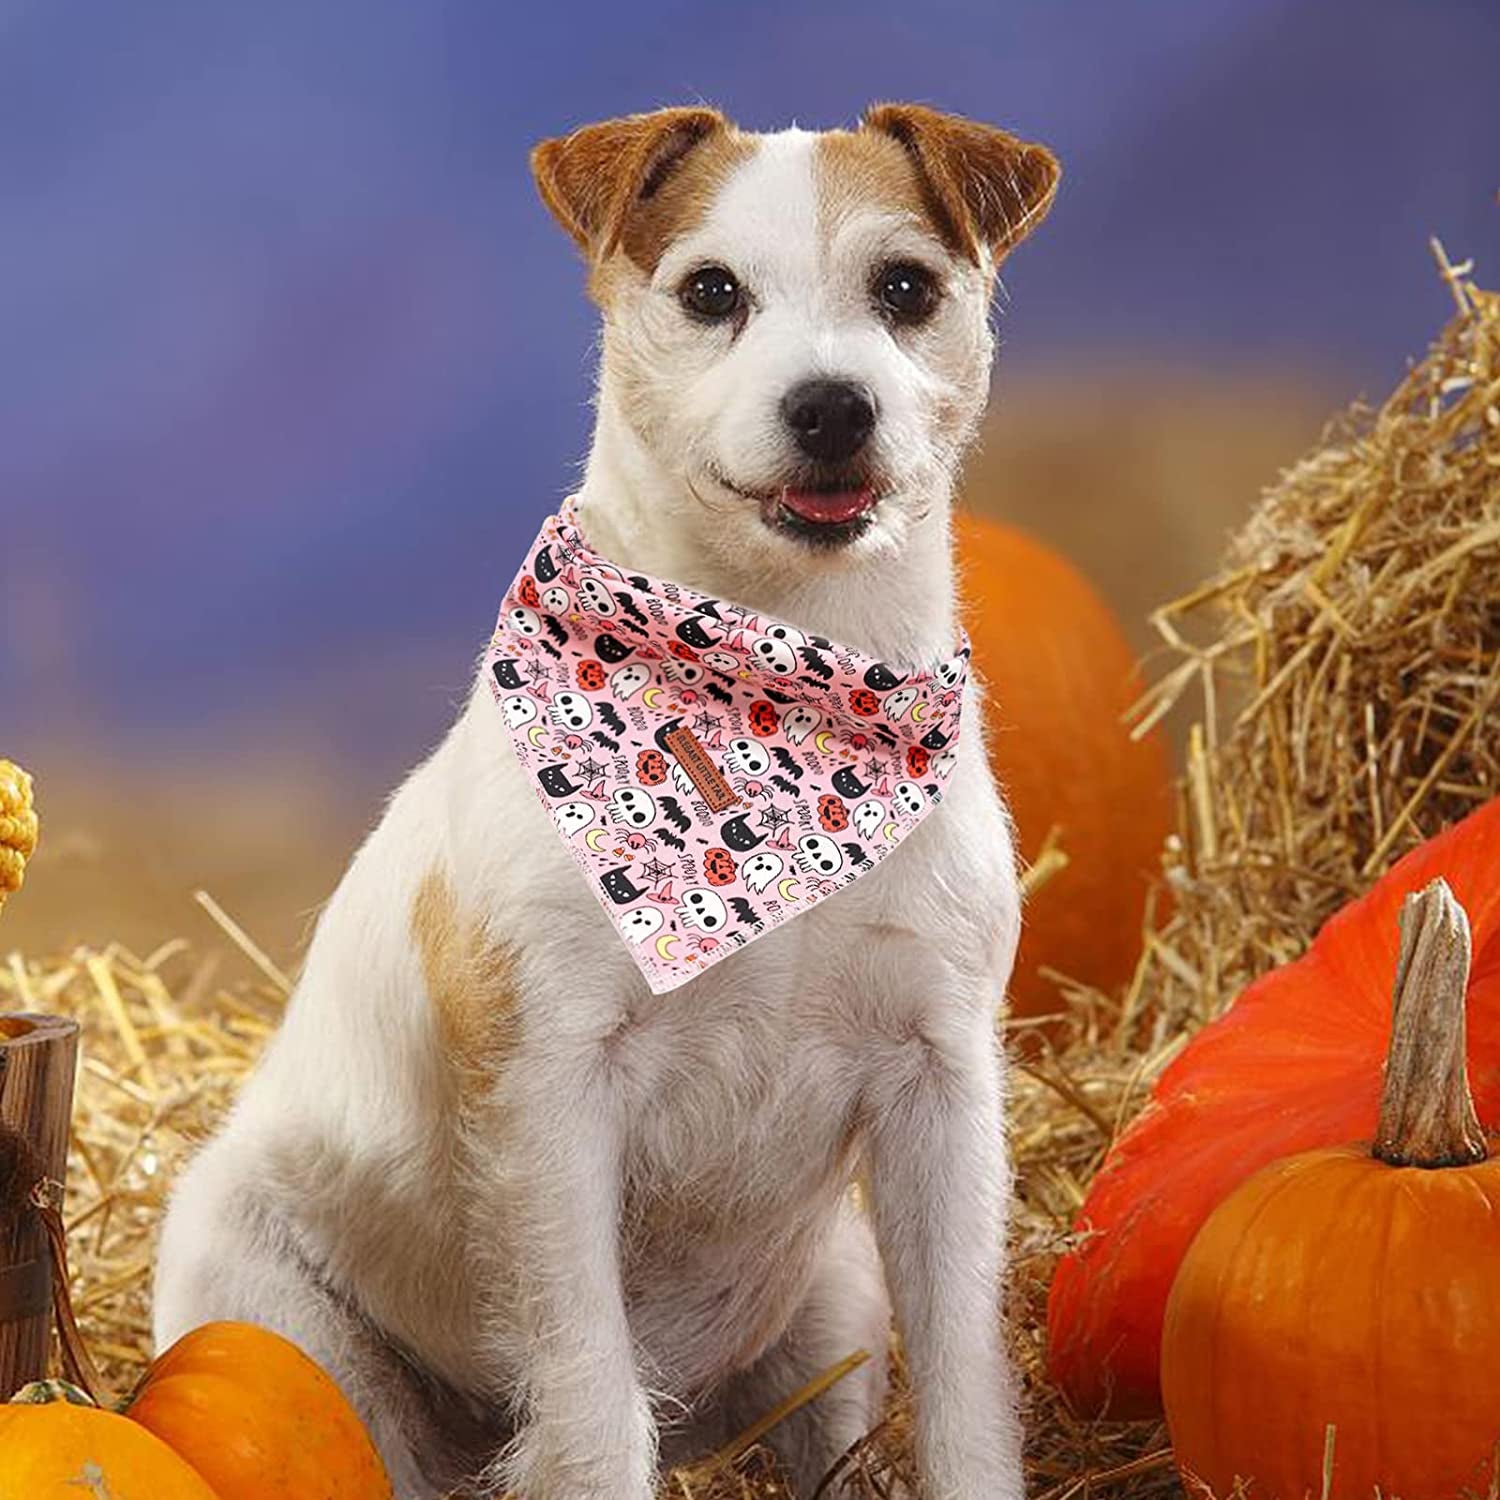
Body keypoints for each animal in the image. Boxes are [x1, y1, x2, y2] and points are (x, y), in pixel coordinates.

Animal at [155, 99, 1056, 1494]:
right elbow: (588, 1399)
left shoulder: (940, 1086)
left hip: (835, 1295)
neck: (776, 704)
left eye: (907, 287)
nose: (831, 408)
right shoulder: (554, 1097)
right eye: (710, 292)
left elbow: (963, 1381)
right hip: (278, 1316)